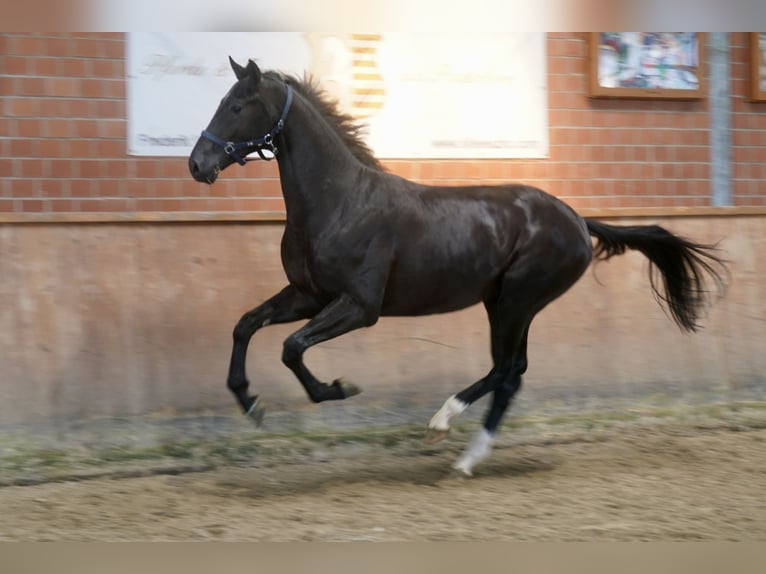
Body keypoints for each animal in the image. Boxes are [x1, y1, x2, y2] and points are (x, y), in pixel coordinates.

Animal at [189, 59, 728, 476]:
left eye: (236, 106)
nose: (197, 163)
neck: (339, 201)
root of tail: (577, 219)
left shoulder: (360, 306)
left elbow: (291, 347)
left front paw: (337, 388)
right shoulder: (308, 294)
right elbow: (246, 326)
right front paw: (250, 402)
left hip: (517, 300)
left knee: (507, 370)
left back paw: (445, 427)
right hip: (503, 302)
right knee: (512, 372)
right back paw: (465, 454)